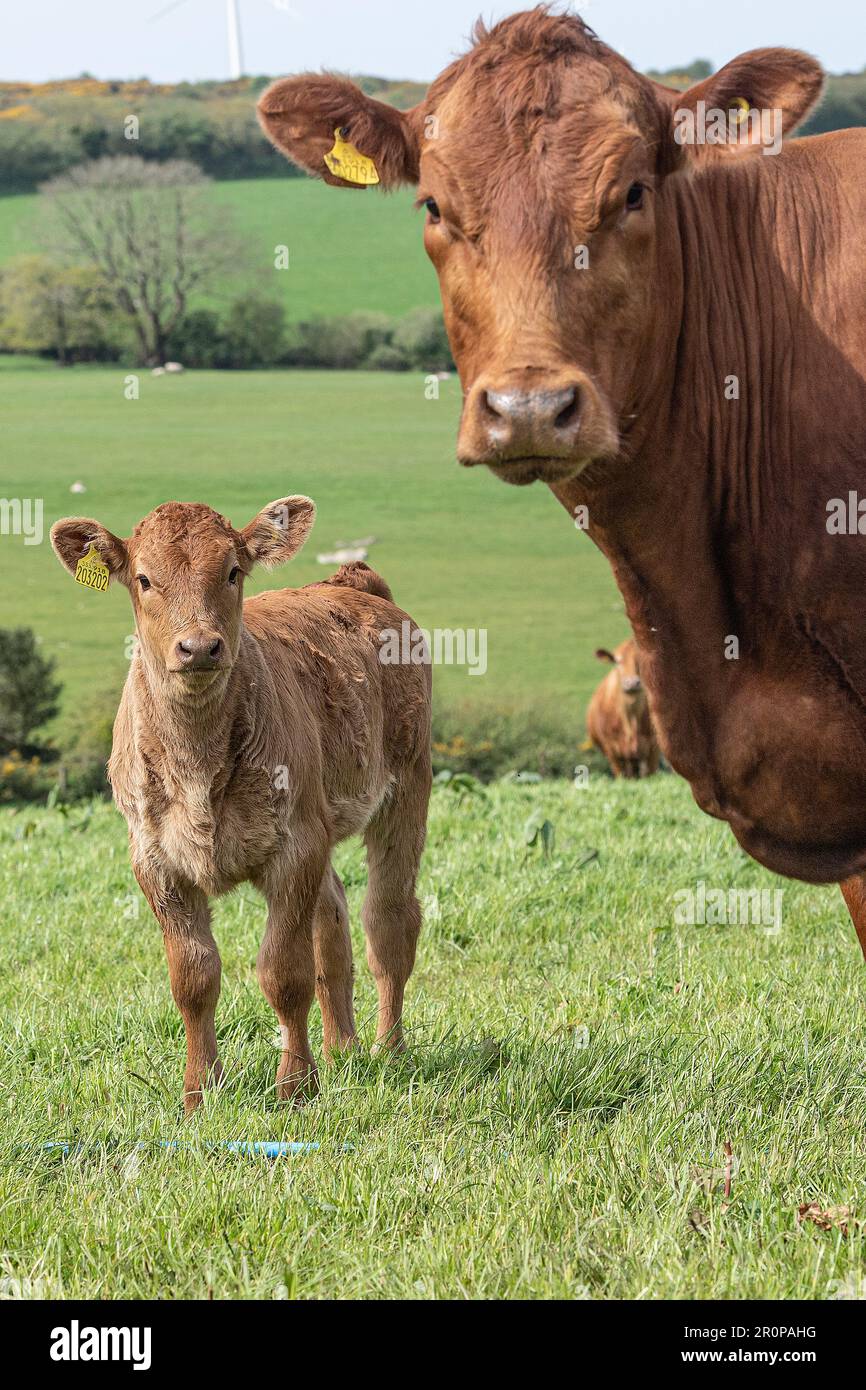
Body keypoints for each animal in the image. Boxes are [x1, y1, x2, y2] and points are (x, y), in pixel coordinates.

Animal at [50, 499, 431, 1111]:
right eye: (144, 579)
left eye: (233, 572)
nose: (199, 647)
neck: (197, 763)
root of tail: (351, 583)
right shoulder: (156, 863)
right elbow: (194, 979)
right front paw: (199, 1092)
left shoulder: (294, 849)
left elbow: (284, 974)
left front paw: (295, 1087)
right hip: (322, 826)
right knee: (333, 920)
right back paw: (342, 1050)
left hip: (405, 789)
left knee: (389, 921)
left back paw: (387, 1049)